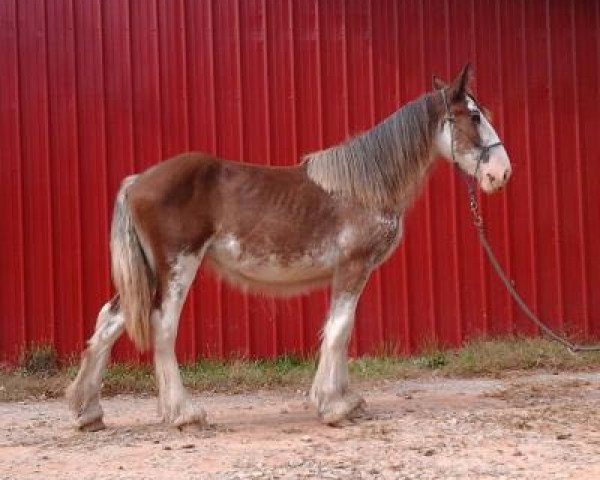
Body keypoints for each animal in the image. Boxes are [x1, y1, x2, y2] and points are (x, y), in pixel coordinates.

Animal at [68, 64, 512, 432]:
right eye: (474, 116)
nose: (501, 172)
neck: (363, 187)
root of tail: (137, 181)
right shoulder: (353, 266)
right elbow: (339, 329)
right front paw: (334, 408)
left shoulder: (347, 273)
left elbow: (341, 329)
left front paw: (345, 400)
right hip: (178, 266)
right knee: (162, 326)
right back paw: (184, 415)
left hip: (148, 275)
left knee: (108, 321)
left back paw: (88, 413)